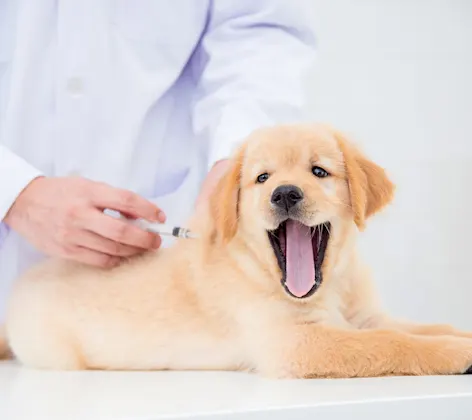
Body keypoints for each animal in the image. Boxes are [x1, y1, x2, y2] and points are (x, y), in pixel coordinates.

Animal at [0, 123, 472, 376]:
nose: (285, 193)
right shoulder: (296, 343)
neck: (331, 283)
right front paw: (458, 354)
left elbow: (423, 328)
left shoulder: (366, 317)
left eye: (319, 171)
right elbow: (392, 343)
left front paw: (459, 337)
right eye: (262, 178)